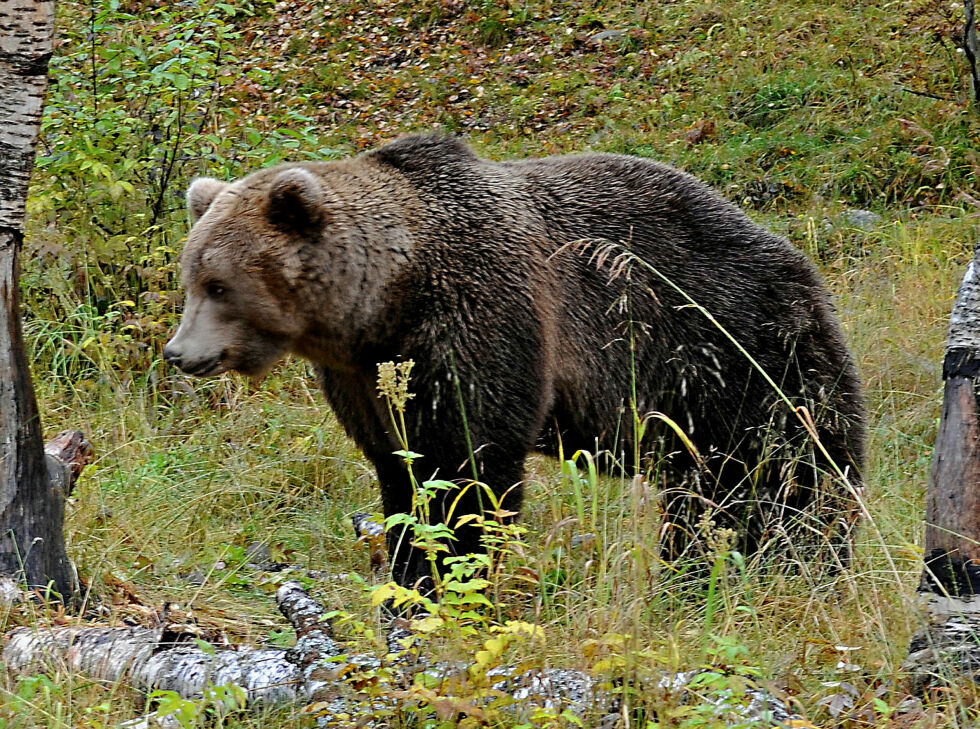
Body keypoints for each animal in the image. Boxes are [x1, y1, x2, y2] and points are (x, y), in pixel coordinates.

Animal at [167, 135, 864, 592]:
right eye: (191, 278)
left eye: (220, 284)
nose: (179, 353)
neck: (386, 299)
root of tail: (802, 265)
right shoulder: (364, 375)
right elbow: (400, 469)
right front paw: (406, 574)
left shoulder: (481, 314)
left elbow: (467, 465)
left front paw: (447, 578)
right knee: (710, 493)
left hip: (735, 352)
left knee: (790, 474)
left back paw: (799, 561)